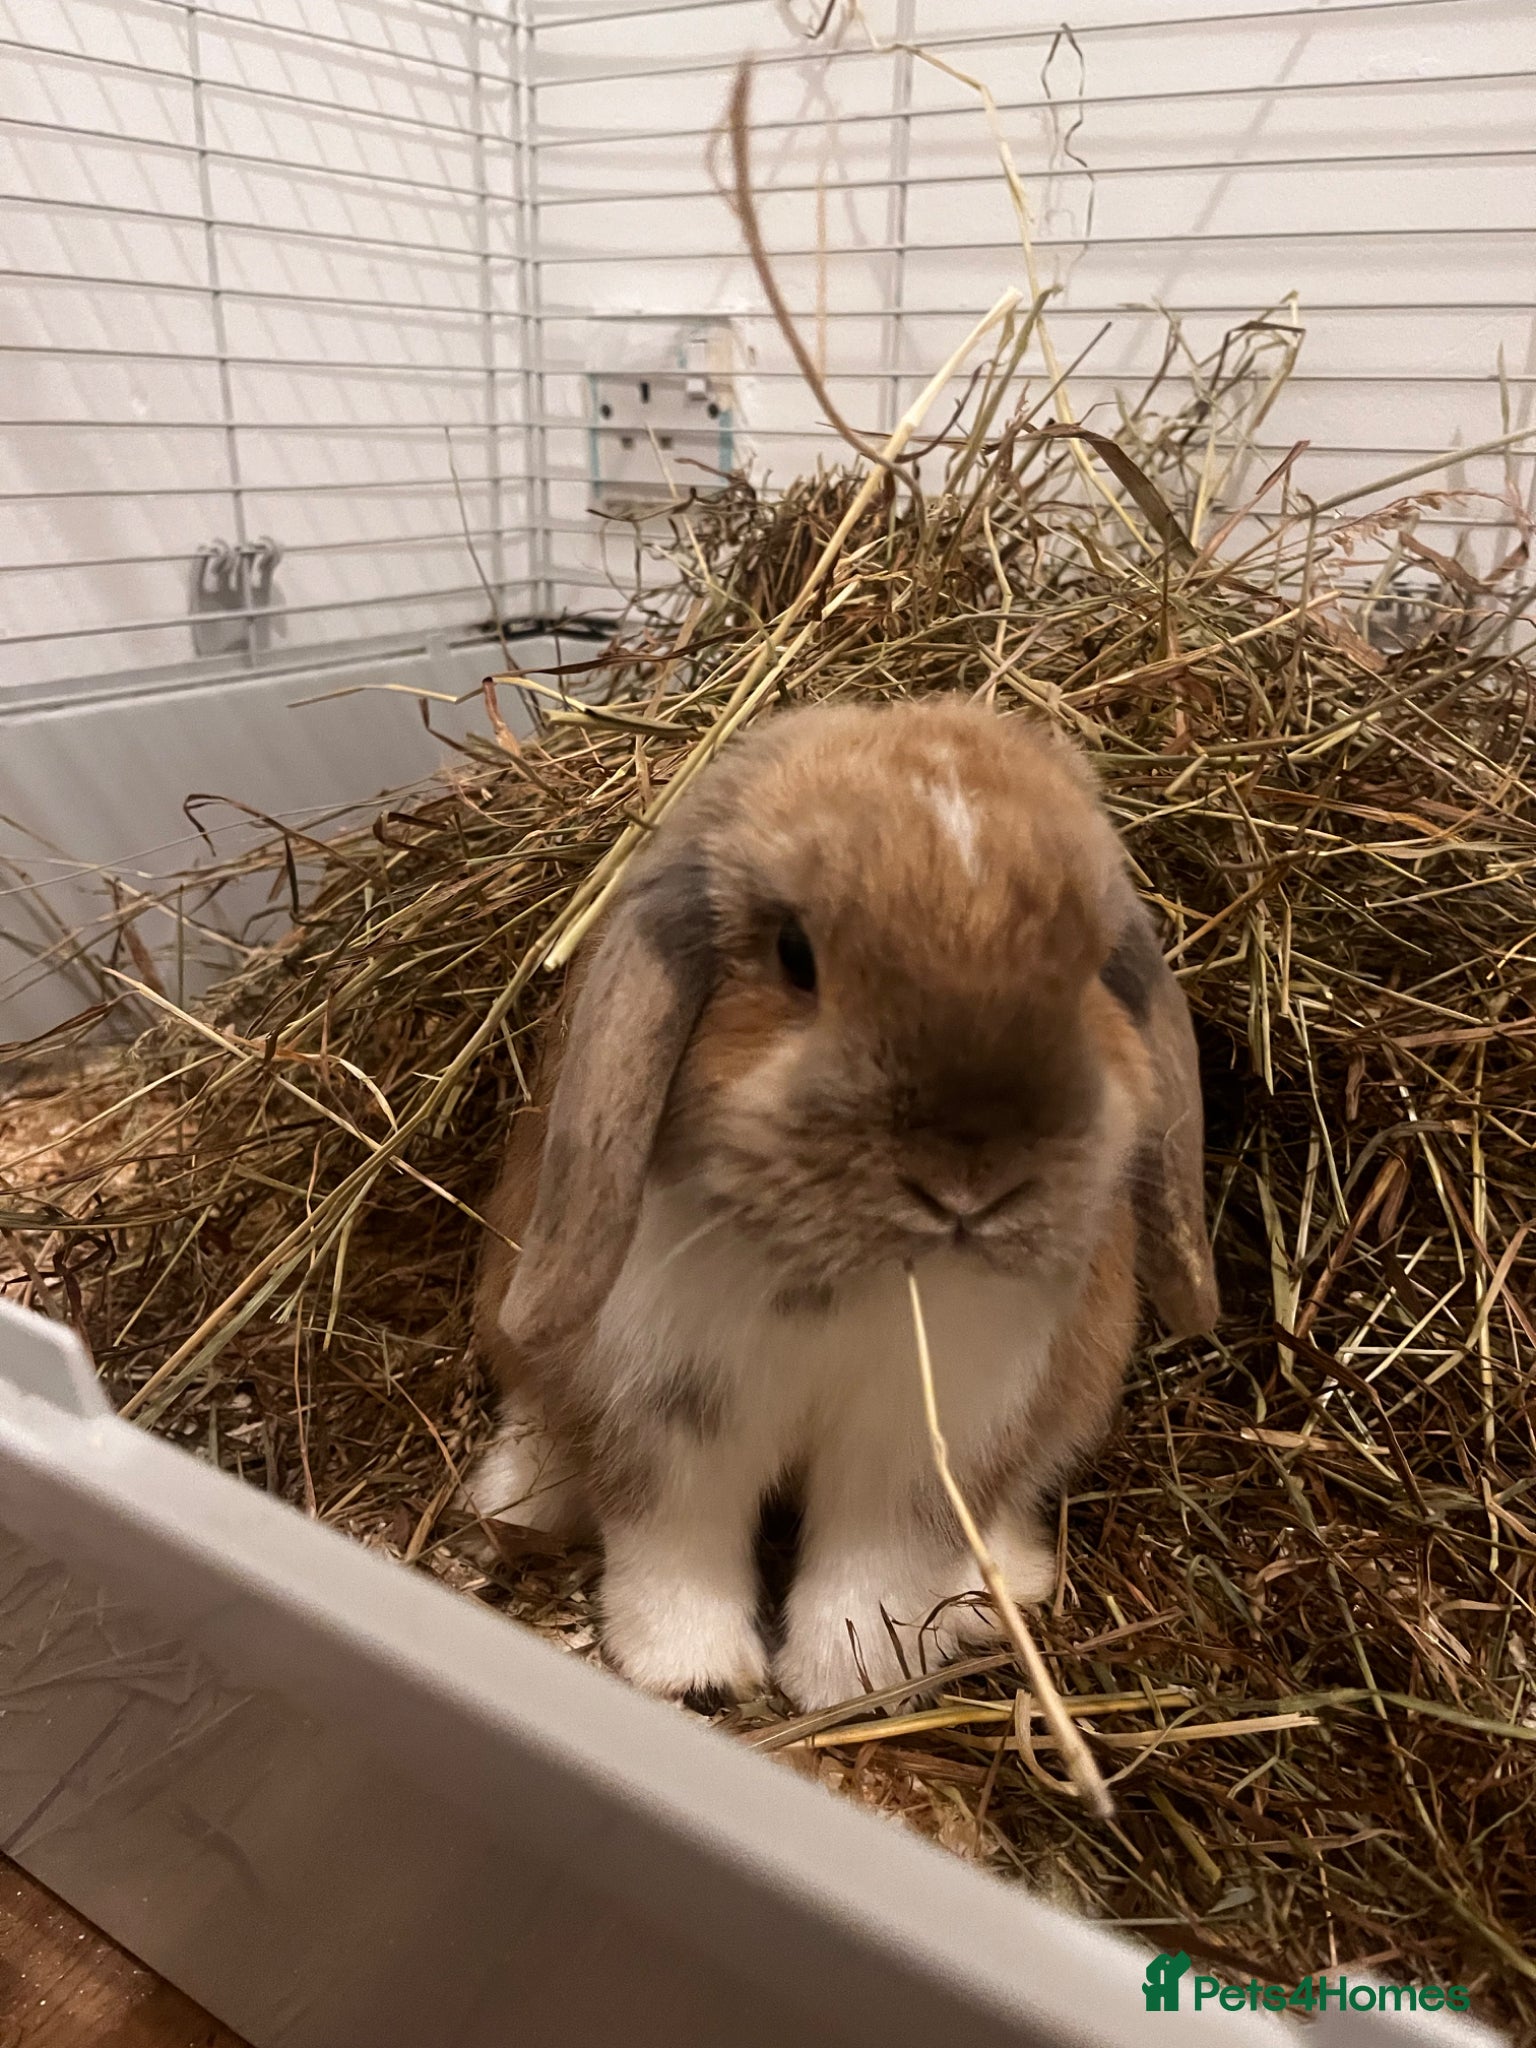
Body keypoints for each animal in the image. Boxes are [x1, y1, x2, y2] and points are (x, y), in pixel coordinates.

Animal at [468, 697, 1217, 1712]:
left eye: (1095, 963)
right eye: (795, 954)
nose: (969, 1180)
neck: (857, 1277)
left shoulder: (927, 1444)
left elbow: (875, 1569)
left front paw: (846, 1687)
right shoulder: (668, 1410)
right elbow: (674, 1543)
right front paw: (695, 1676)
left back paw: (1004, 1587)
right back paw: (513, 1497)